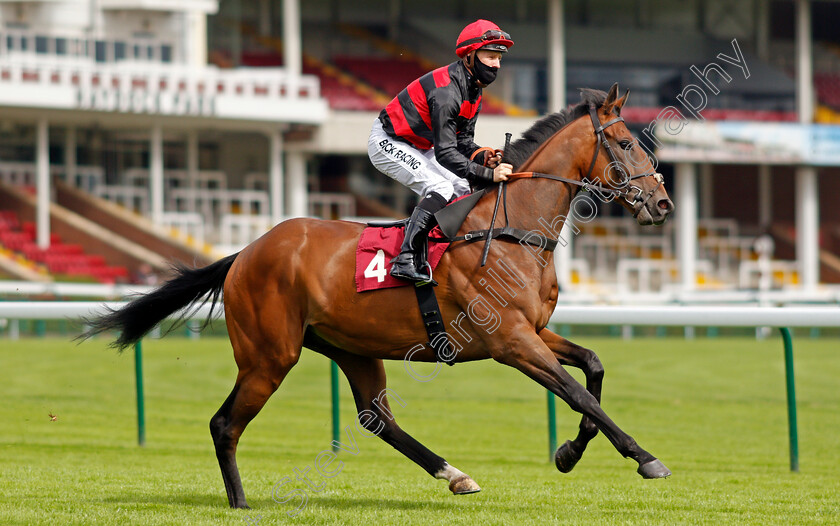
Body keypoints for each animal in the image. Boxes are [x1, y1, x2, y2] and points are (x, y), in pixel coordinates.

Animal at [83, 84, 676, 510]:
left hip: (351, 347)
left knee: (376, 417)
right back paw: (241, 502)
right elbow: (578, 394)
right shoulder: (510, 341)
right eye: (626, 143)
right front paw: (645, 457)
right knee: (225, 424)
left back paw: (454, 474)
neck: (513, 229)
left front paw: (570, 452)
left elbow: (593, 367)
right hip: (270, 354)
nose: (663, 203)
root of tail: (246, 252)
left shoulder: (534, 331)